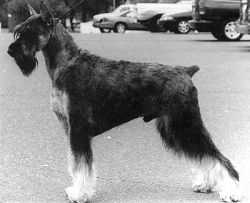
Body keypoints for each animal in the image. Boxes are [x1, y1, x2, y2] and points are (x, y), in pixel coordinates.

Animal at [7, 2, 241, 202]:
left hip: (185, 123)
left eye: (28, 32)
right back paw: (205, 184)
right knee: (202, 156)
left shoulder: (78, 129)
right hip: (175, 127)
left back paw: (231, 192)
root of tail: (186, 71)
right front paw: (76, 189)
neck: (66, 64)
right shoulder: (70, 130)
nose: (10, 50)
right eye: (19, 30)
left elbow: (81, 166)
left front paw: (80, 194)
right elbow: (75, 163)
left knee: (218, 157)